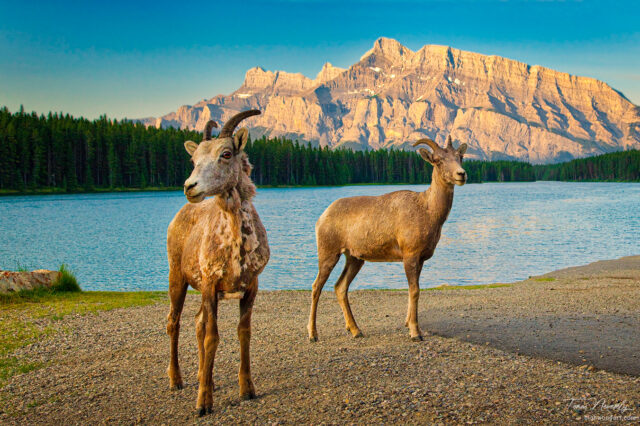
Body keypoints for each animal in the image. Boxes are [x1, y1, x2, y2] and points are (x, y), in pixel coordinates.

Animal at [166, 110, 270, 416]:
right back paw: (177, 381)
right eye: (194, 160)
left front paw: (247, 391)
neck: (236, 247)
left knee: (197, 324)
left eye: (225, 154)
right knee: (174, 322)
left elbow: (243, 333)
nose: (190, 187)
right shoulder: (211, 284)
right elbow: (213, 337)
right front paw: (203, 404)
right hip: (177, 279)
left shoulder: (250, 286)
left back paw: (203, 376)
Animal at [307, 135, 467, 342]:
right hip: (328, 253)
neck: (430, 213)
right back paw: (313, 334)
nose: (461, 174)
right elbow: (415, 291)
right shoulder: (410, 254)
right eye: (438, 160)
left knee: (340, 287)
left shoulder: (421, 258)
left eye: (460, 157)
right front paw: (415, 332)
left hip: (354, 258)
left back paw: (356, 330)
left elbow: (413, 291)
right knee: (316, 287)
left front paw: (409, 324)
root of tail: (322, 217)